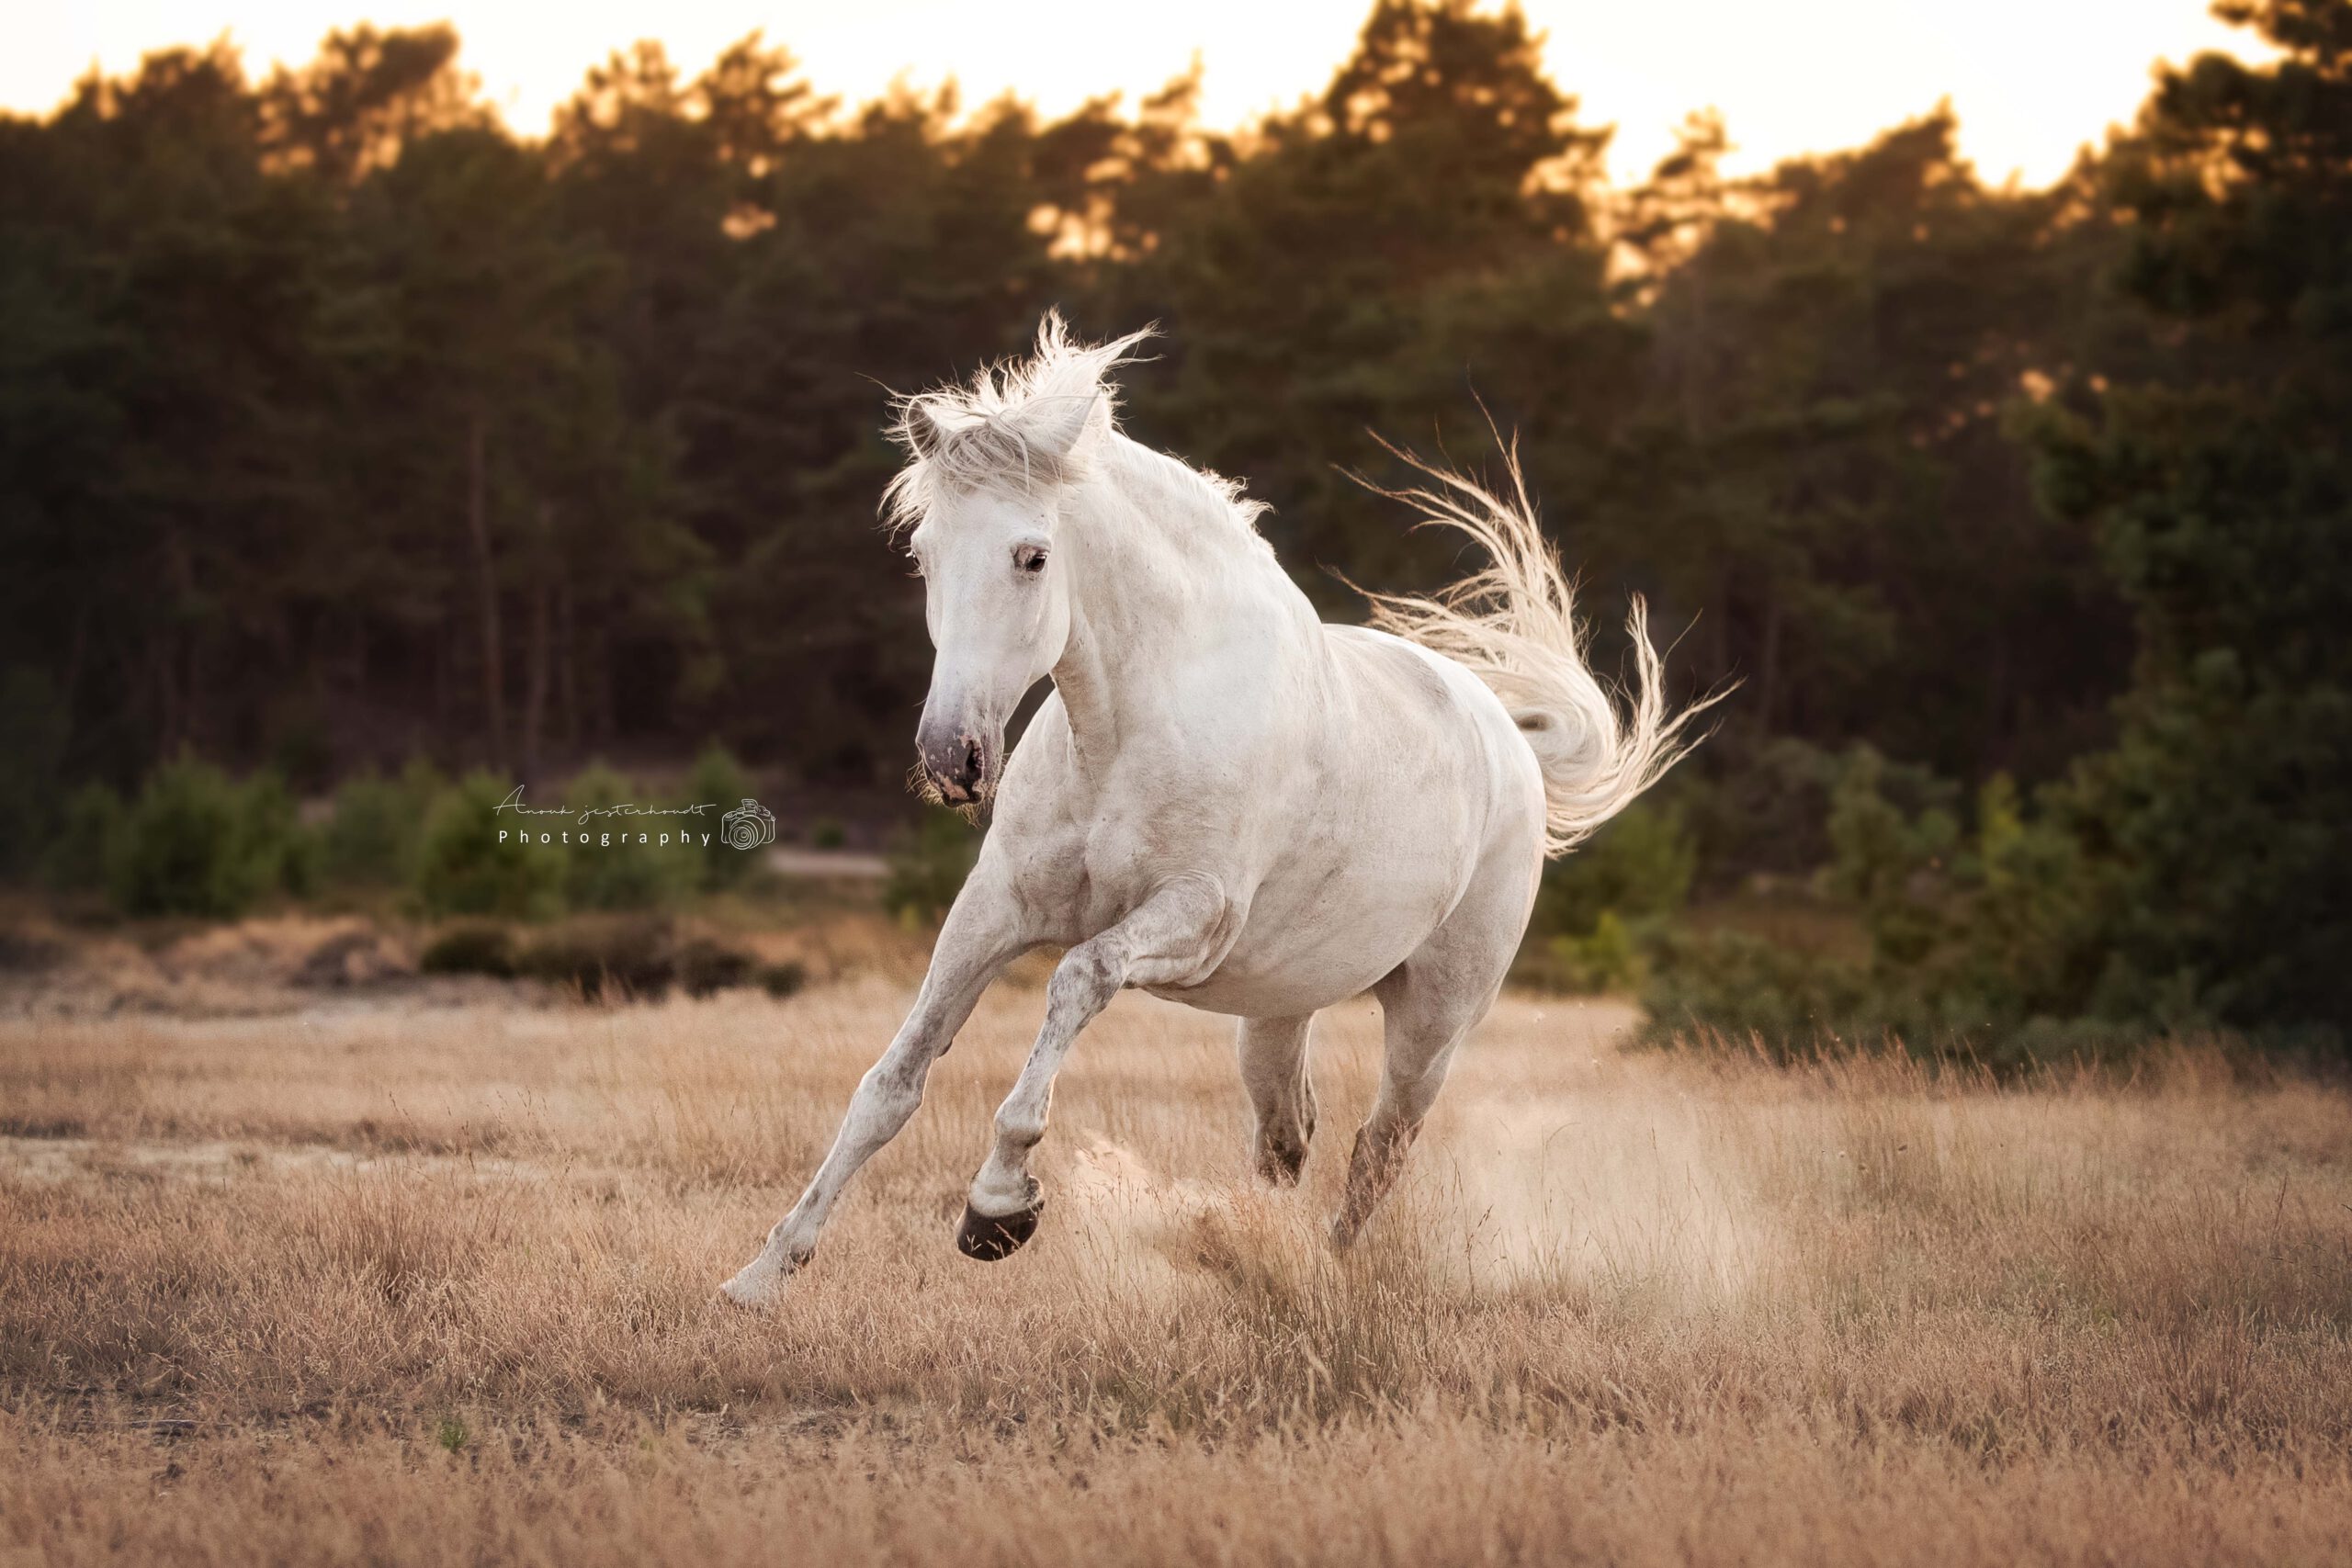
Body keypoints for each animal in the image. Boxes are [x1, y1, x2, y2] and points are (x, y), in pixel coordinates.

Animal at [721, 315, 1712, 1308]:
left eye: (1032, 556)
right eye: (922, 555)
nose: (950, 758)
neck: (1128, 730)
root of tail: (1508, 738)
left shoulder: (1191, 917)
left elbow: (1073, 981)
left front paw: (998, 1210)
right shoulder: (993, 910)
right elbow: (890, 1084)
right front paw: (762, 1275)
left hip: (1436, 1015)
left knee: (1379, 1148)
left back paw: (1320, 1279)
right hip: (1277, 1007)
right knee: (1288, 1139)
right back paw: (1253, 1259)